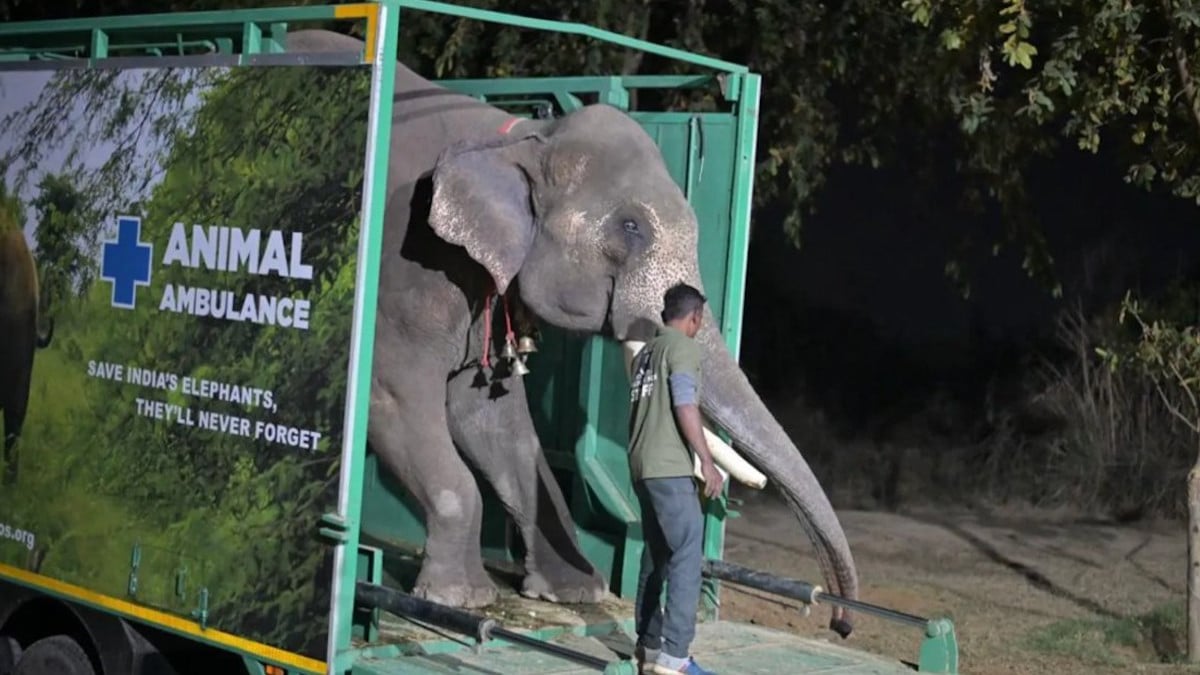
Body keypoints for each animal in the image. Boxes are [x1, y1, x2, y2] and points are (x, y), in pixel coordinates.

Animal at [284, 29, 860, 636]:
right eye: (630, 227)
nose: (840, 623)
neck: (519, 139)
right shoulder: (408, 268)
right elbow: (395, 398)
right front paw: (462, 600)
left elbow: (494, 419)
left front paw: (575, 594)